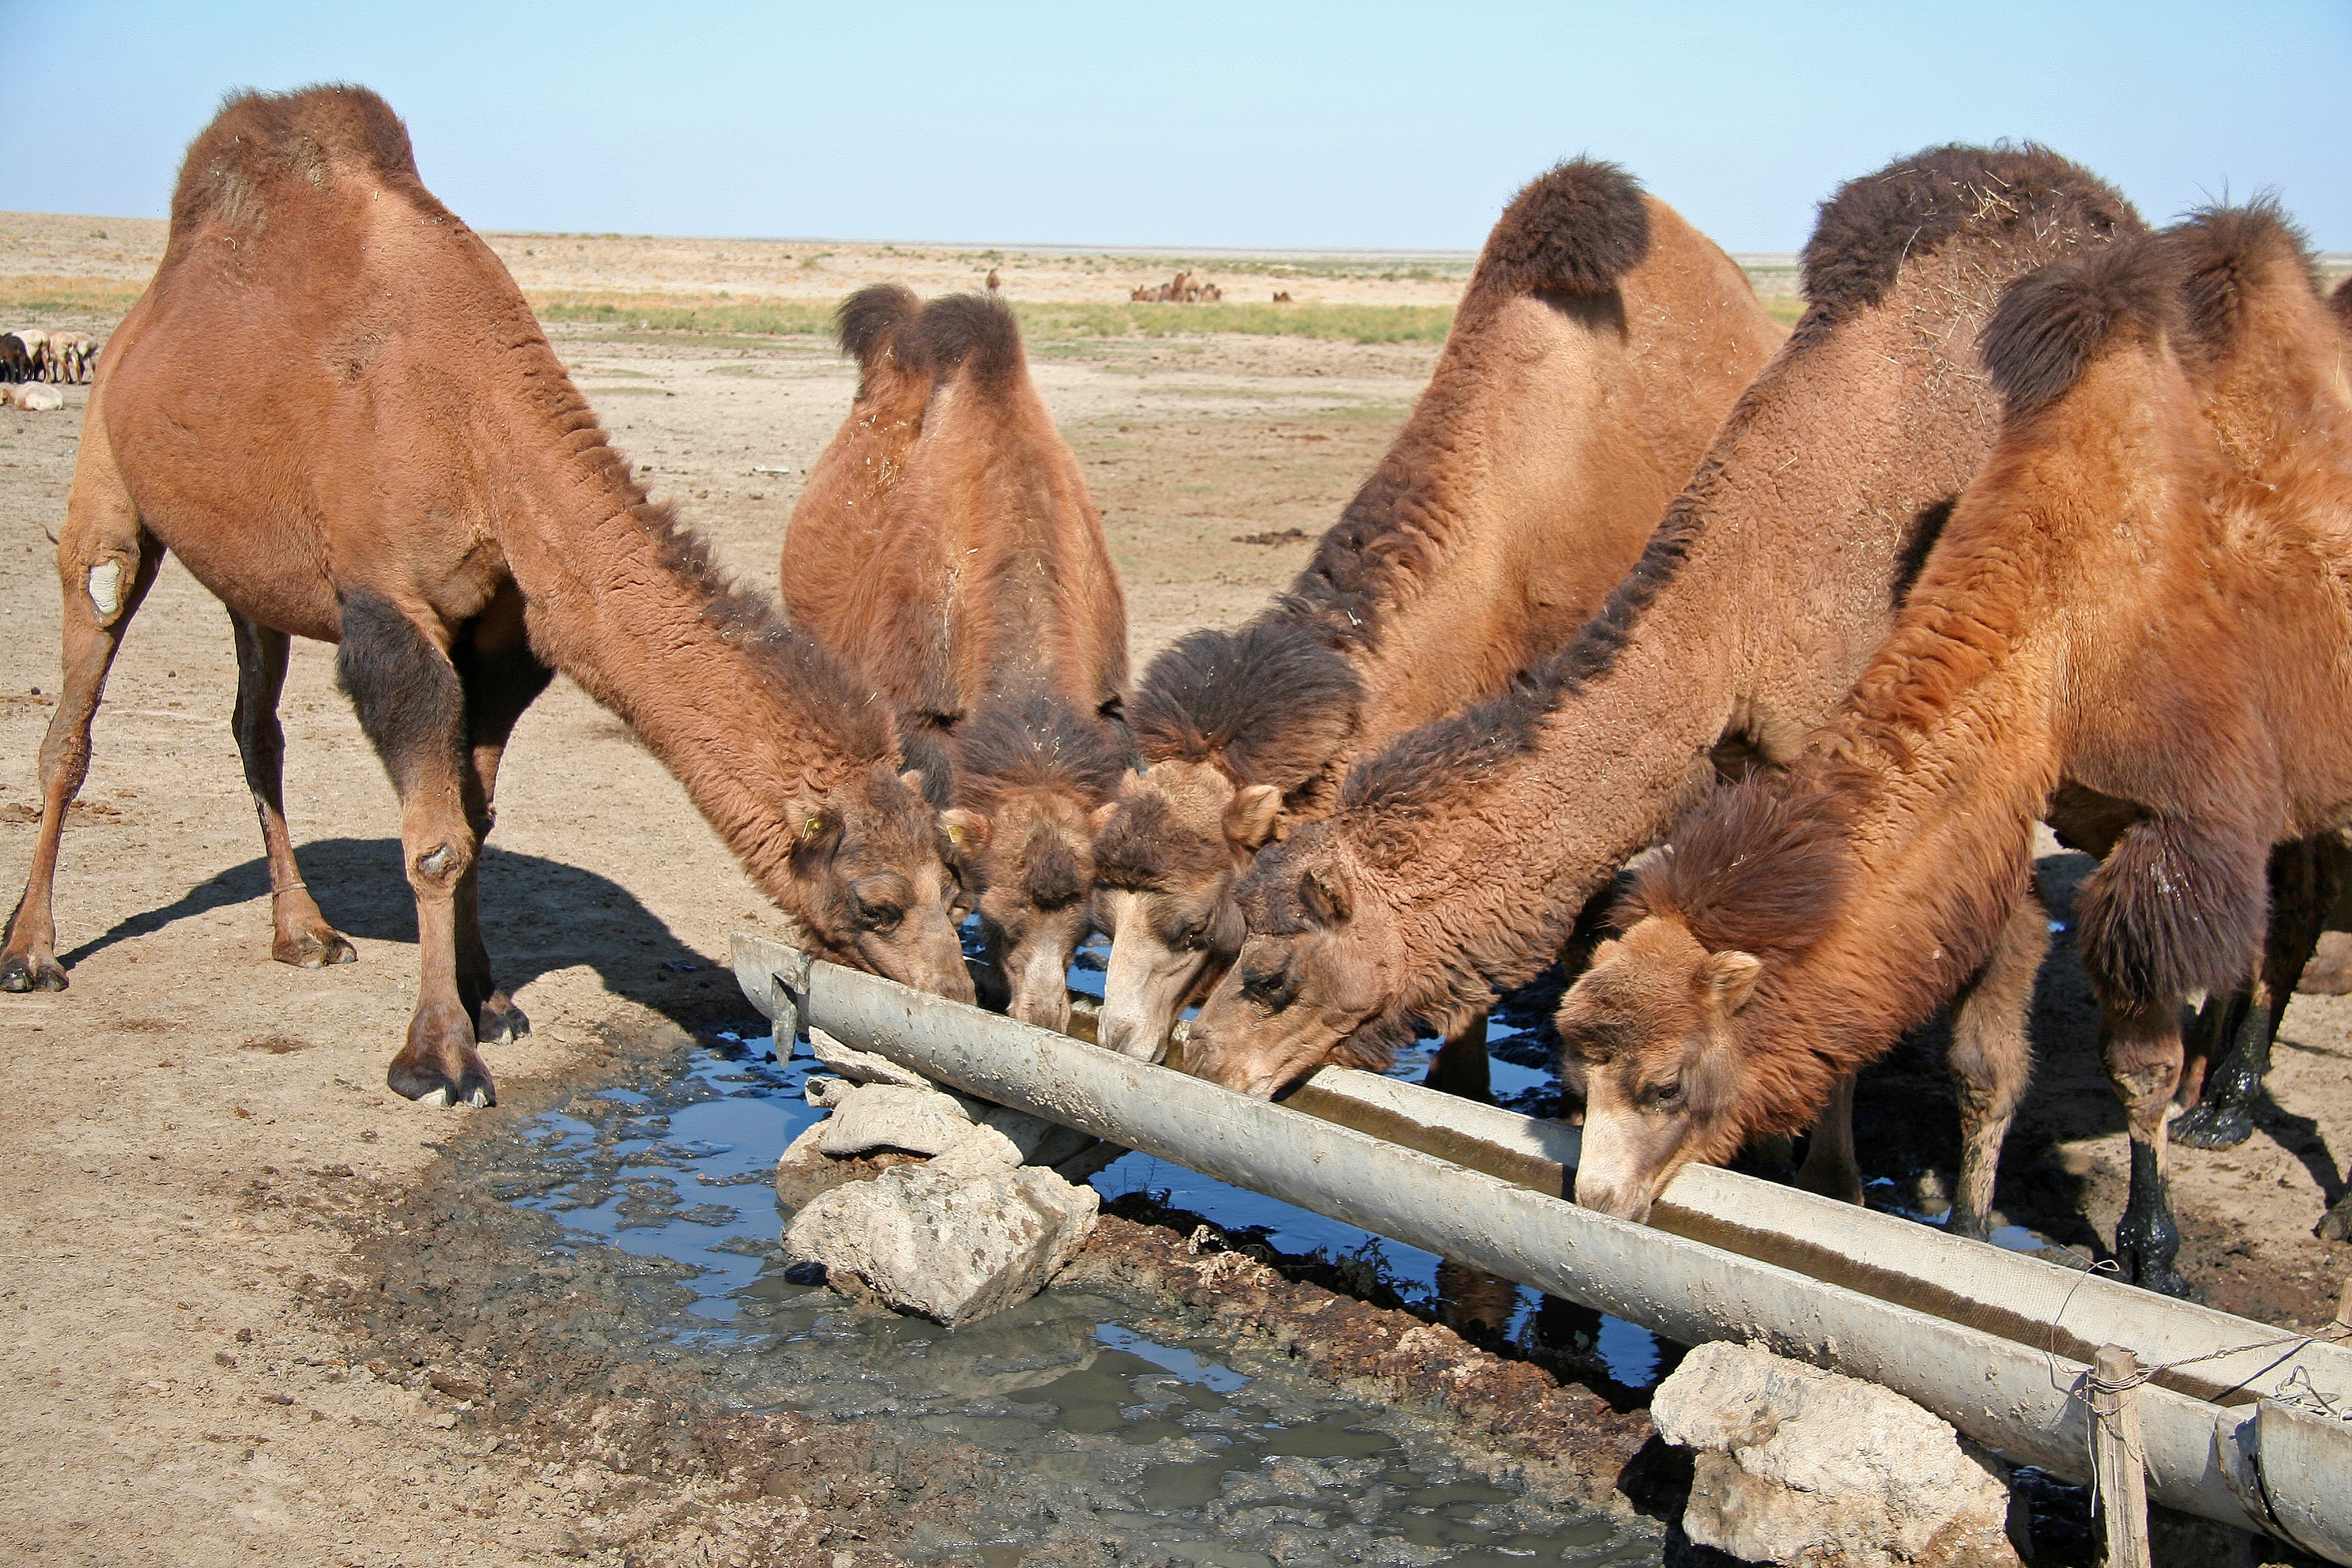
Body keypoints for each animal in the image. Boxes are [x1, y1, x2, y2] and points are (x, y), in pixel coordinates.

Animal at [0, 86, 973, 1108]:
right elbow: (436, 840)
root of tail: (143, 313)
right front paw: (436, 1058)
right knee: (78, 697)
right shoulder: (391, 611)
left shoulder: (501, 638)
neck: (479, 432)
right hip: (107, 480)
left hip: (246, 571)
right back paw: (31, 953)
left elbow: (476, 815)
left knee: (255, 728)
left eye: (955, 890)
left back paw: (304, 935)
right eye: (877, 902)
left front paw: (491, 1002)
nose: (953, 999)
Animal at [1557, 203, 2352, 1293]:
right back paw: (2226, 1104)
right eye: (1576, 1068)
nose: (1596, 1199)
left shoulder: (2176, 819)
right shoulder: (2040, 797)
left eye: (1666, 1084)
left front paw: (2151, 1252)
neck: (2064, 609)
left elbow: (2135, 1063)